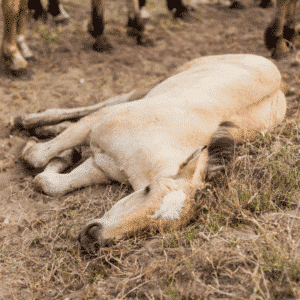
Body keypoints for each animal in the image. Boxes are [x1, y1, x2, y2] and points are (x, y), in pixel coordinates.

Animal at [19, 54, 288, 253]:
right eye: (148, 190)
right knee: (111, 101)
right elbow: (35, 156)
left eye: (152, 230)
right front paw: (45, 145)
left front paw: (65, 156)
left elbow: (49, 182)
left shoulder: (100, 166)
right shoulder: (93, 127)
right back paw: (27, 120)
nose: (93, 237)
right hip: (160, 81)